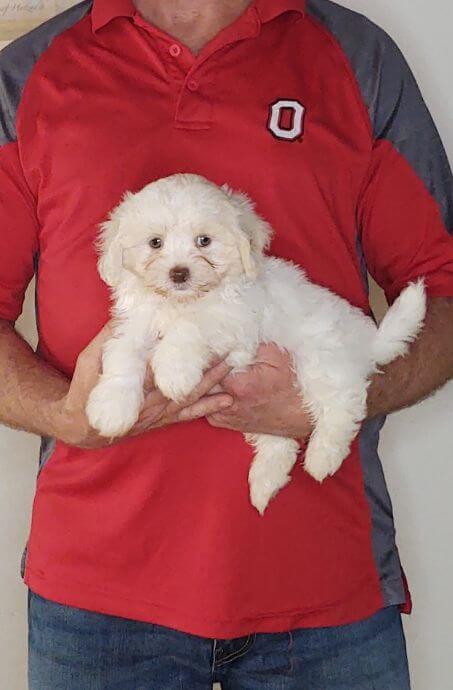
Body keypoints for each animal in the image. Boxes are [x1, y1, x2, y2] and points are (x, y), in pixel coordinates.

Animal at [86, 175, 426, 512]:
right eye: (155, 243)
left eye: (204, 241)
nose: (179, 273)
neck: (181, 302)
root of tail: (366, 339)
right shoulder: (136, 325)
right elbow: (123, 356)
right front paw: (112, 407)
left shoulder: (235, 326)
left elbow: (190, 327)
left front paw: (173, 371)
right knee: (279, 440)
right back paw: (266, 480)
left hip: (320, 360)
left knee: (344, 402)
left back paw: (321, 457)